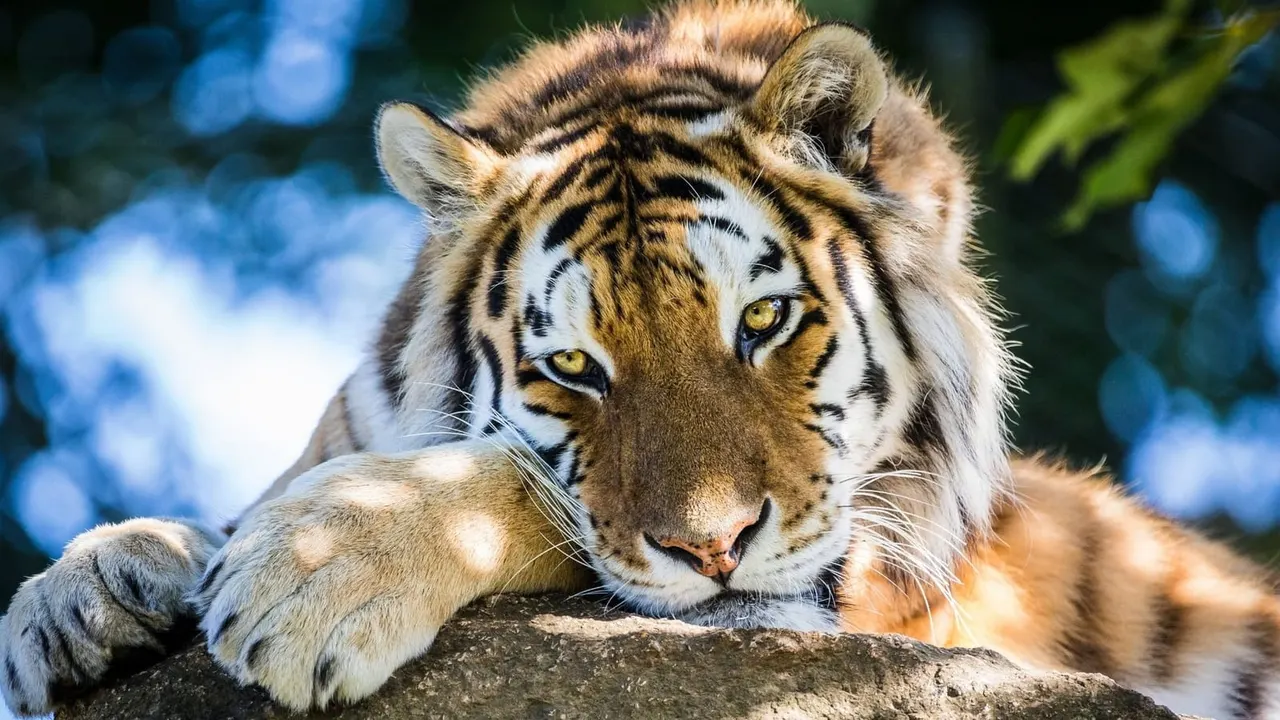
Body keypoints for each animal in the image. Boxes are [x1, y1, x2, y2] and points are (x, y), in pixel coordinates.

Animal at [3, 0, 1278, 717]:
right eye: (574, 368)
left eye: (762, 322)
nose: (714, 550)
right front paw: (87, 589)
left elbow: (522, 490)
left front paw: (318, 567)